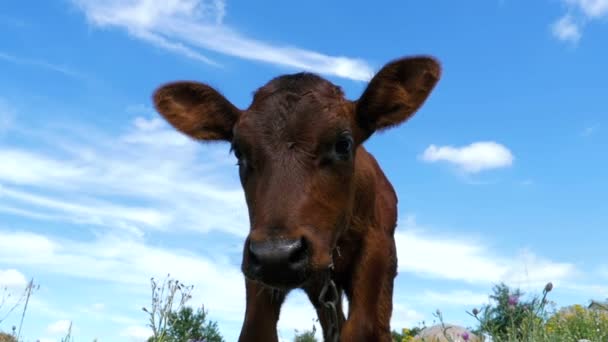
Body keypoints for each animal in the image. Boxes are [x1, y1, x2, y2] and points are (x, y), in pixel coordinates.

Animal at [154, 54, 442, 340]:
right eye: (238, 152)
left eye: (343, 144)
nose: (277, 255)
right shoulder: (259, 270)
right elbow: (256, 330)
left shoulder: (377, 254)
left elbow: (363, 327)